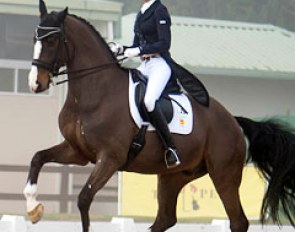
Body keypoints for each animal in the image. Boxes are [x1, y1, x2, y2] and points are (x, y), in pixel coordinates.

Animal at [23, 0, 295, 231]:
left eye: (52, 41)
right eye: (34, 39)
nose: (35, 84)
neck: (94, 94)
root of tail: (232, 120)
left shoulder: (109, 158)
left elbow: (84, 198)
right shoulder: (77, 152)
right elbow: (37, 158)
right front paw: (34, 209)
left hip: (224, 174)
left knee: (238, 221)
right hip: (173, 176)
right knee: (165, 219)